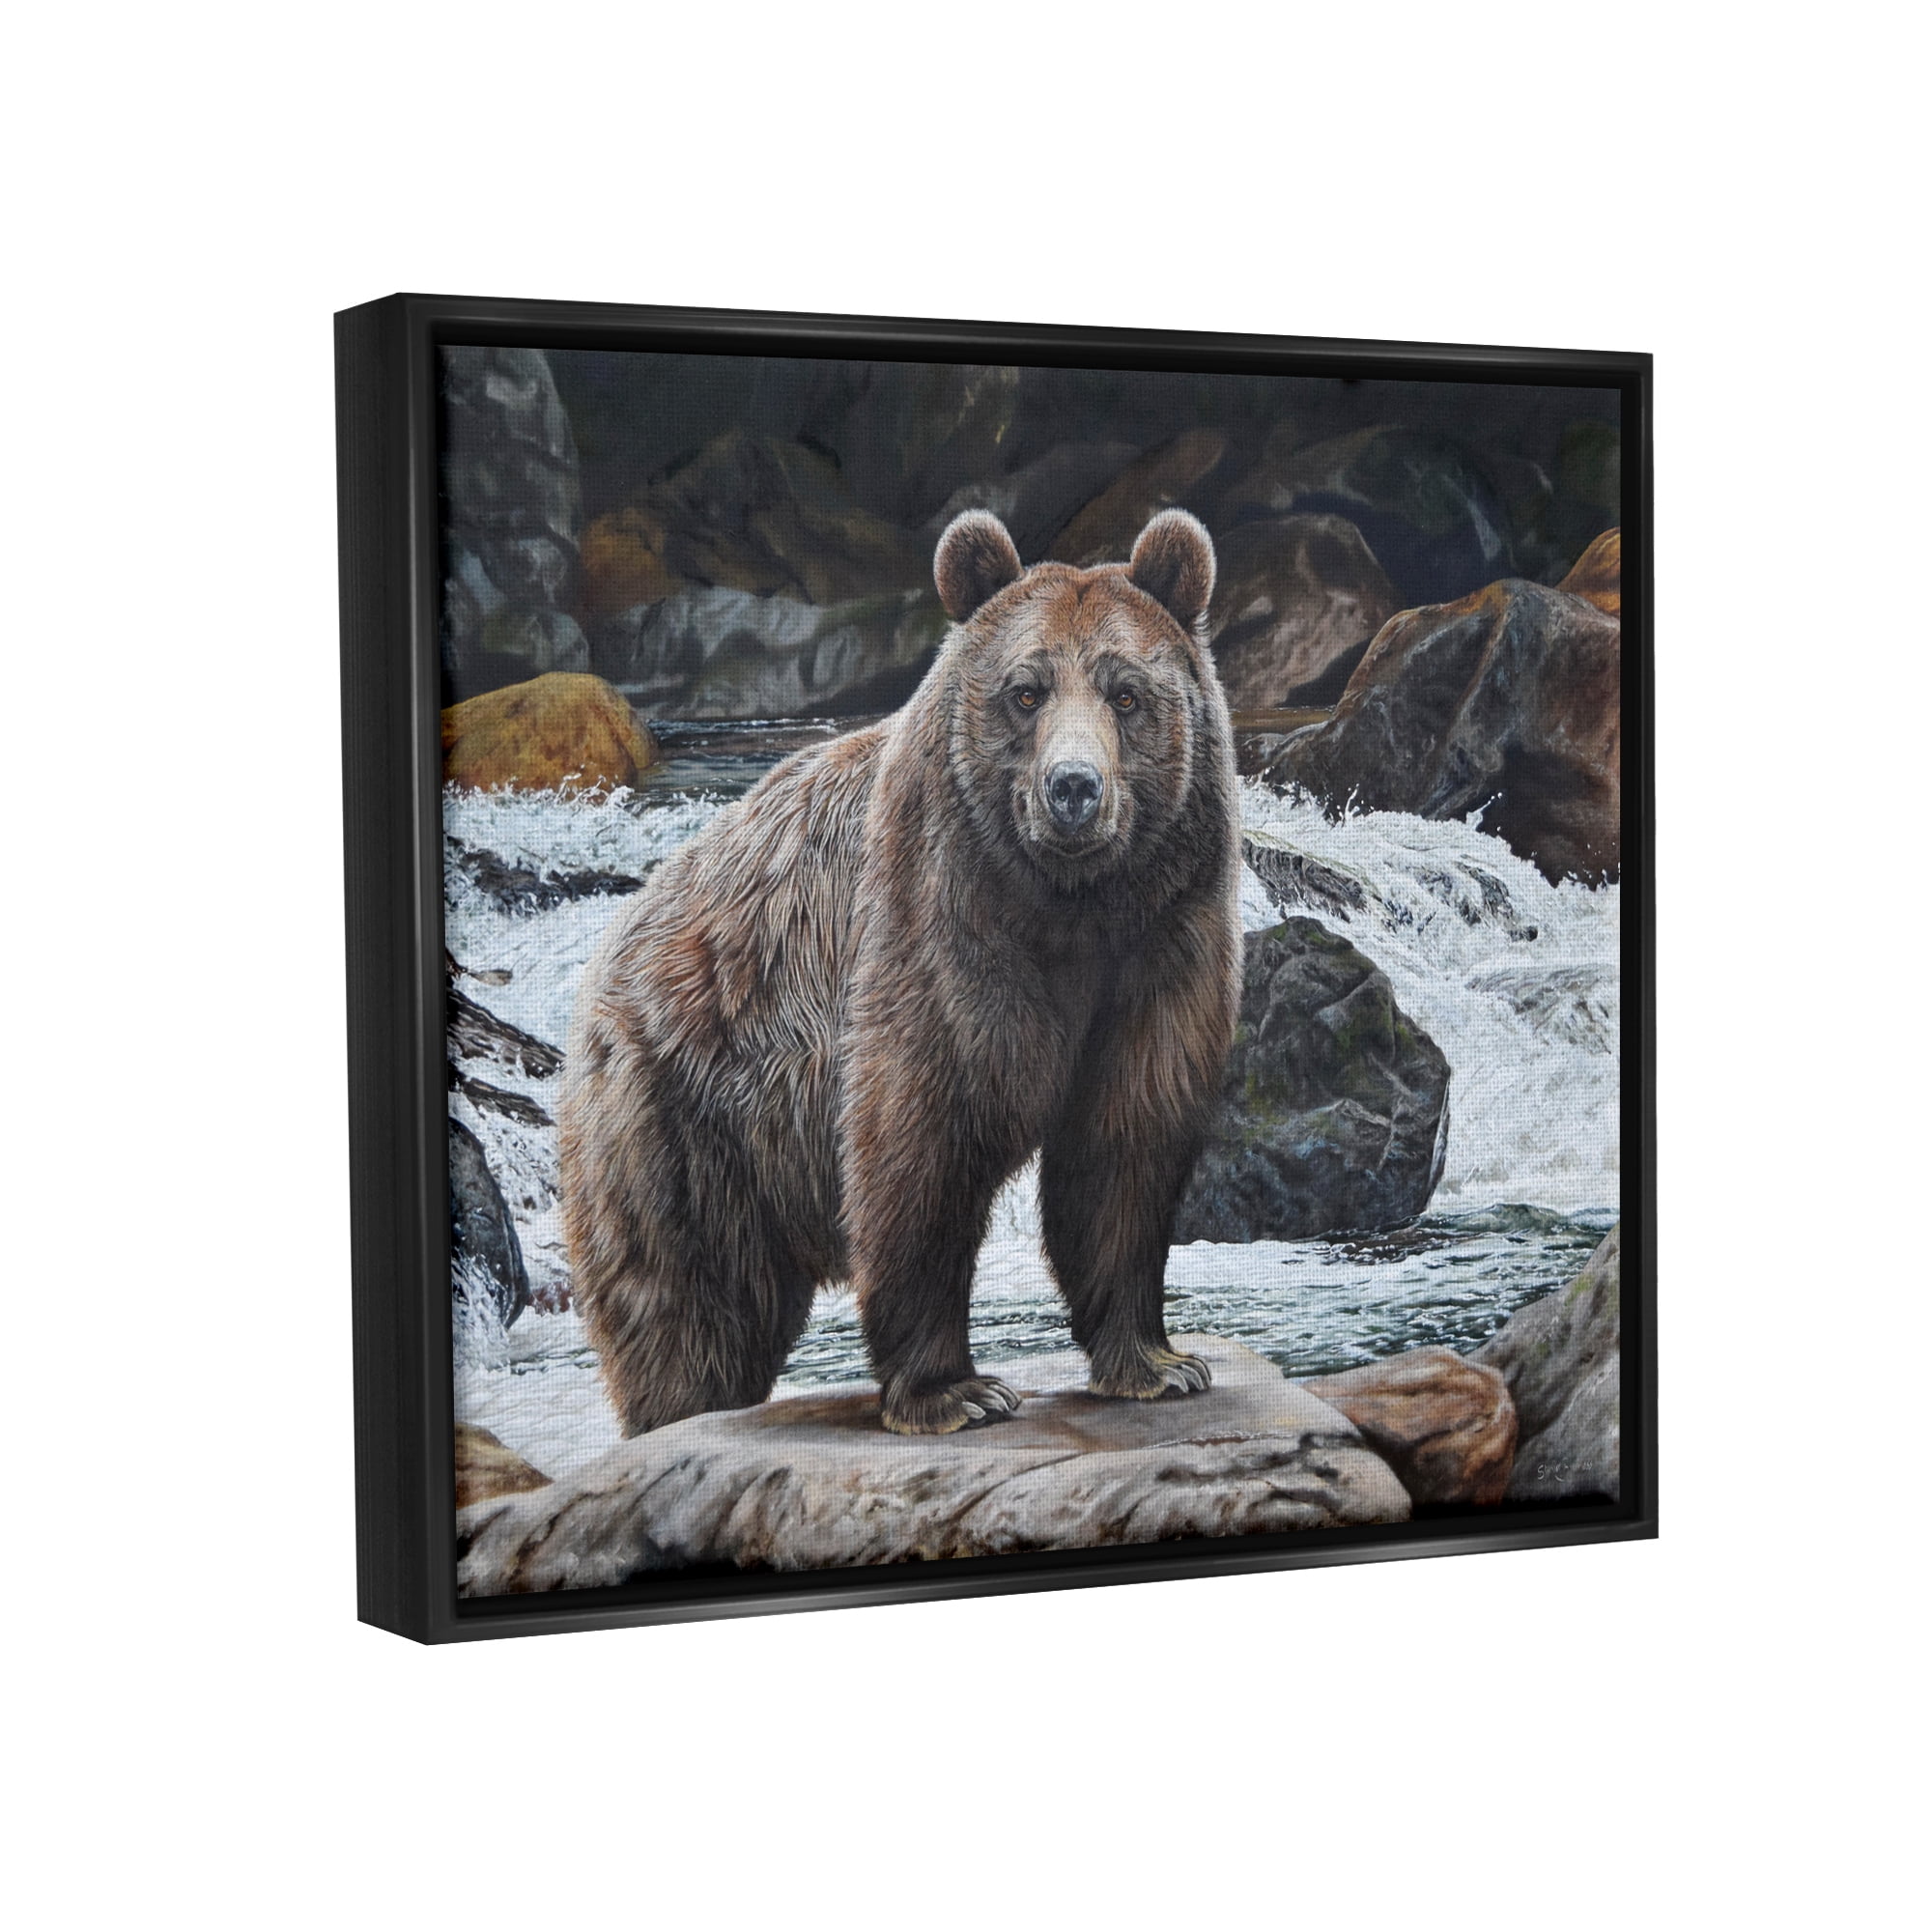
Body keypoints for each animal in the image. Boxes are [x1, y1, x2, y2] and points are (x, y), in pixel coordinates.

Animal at [559, 507, 1243, 1435]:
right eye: (1025, 691)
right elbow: (921, 1139)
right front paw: (955, 1390)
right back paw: (679, 1412)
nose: (1073, 789)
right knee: (686, 1307)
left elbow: (1124, 1142)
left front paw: (1157, 1362)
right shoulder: (940, 921)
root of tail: (609, 953)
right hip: (680, 1114)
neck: (1073, 906)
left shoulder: (1165, 938)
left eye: (1126, 693)